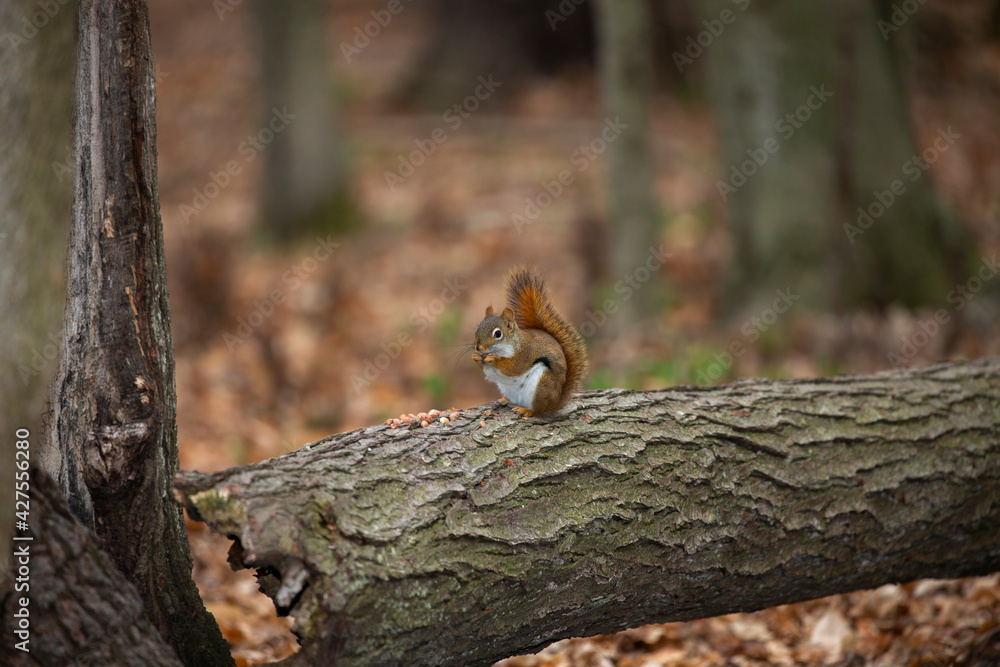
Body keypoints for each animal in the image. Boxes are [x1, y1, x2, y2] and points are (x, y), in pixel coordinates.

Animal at [472, 266, 588, 417]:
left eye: (497, 334)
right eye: (476, 329)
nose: (479, 348)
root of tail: (554, 404)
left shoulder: (525, 353)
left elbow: (514, 367)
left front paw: (493, 359)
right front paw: (475, 357)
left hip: (540, 385)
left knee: (537, 410)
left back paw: (526, 410)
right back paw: (507, 400)